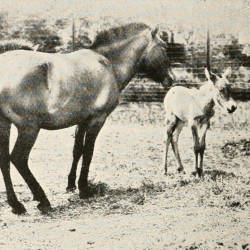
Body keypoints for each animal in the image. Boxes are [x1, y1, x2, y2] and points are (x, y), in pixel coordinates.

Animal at [0, 23, 174, 215]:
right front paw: (84, 189)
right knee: (18, 159)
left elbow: (77, 151)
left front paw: (71, 185)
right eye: (164, 47)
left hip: (5, 125)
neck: (108, 63)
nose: (171, 79)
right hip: (29, 129)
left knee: (4, 160)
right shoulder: (97, 120)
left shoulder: (82, 121)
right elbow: (88, 152)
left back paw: (16, 205)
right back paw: (42, 200)